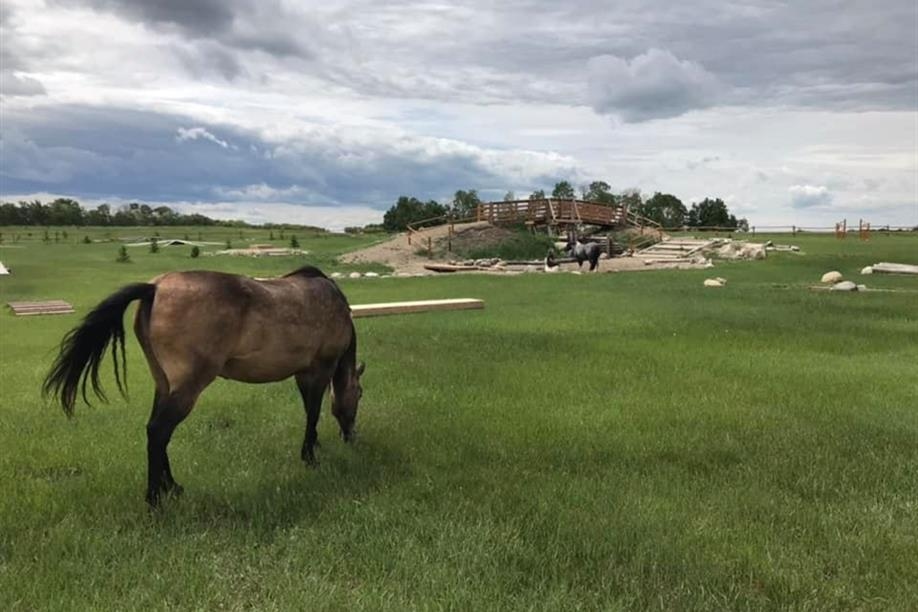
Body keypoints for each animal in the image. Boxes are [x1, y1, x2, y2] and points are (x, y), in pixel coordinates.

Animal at [43, 265, 365, 507]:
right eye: (360, 394)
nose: (351, 435)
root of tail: (155, 289)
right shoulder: (320, 368)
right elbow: (313, 412)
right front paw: (310, 456)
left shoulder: (304, 373)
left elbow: (310, 409)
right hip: (189, 387)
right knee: (158, 431)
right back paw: (155, 500)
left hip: (164, 383)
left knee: (156, 431)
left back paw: (172, 487)